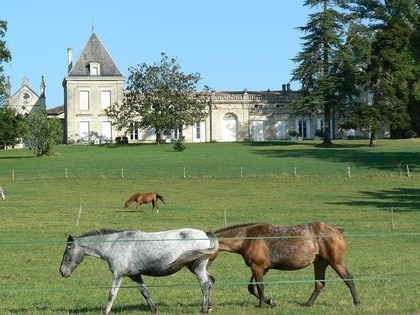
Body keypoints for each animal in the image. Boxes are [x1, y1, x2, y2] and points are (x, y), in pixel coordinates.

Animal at [60, 228, 218, 314]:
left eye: (67, 251)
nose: (62, 272)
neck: (114, 244)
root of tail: (205, 234)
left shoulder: (118, 275)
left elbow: (111, 295)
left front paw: (105, 311)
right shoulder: (135, 275)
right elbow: (145, 292)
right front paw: (153, 309)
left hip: (198, 268)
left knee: (205, 285)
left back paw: (204, 309)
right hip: (195, 268)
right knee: (210, 281)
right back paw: (209, 307)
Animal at [208, 223, 360, 310]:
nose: (205, 267)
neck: (248, 238)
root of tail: (336, 230)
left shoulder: (257, 267)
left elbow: (260, 286)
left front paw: (262, 305)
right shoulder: (261, 268)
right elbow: (252, 288)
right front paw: (270, 301)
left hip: (336, 262)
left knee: (348, 279)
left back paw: (357, 302)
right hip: (320, 263)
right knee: (319, 284)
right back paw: (308, 304)